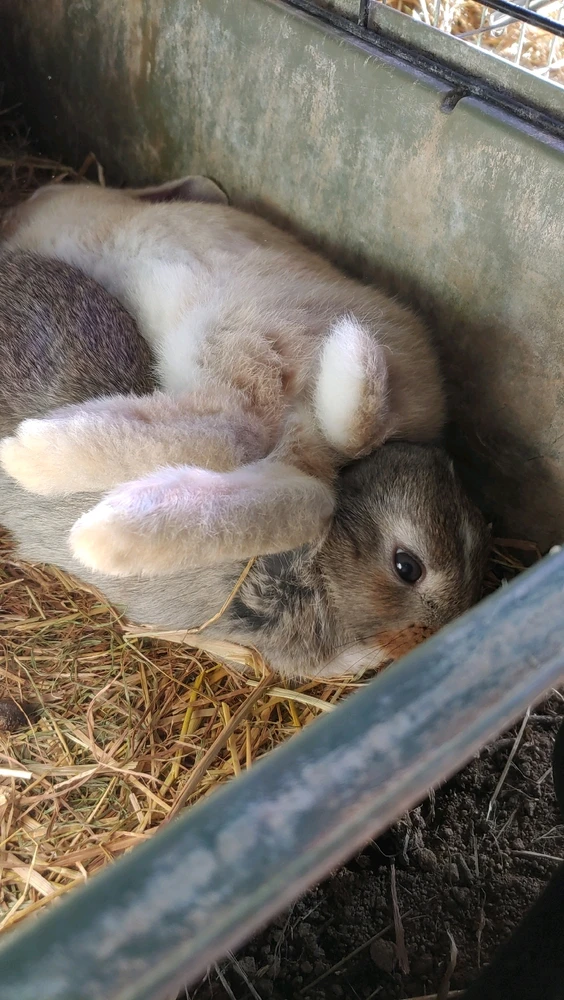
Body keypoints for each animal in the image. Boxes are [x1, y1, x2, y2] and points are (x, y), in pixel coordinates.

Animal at [0, 176, 447, 580]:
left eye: (43, 192)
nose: (14, 211)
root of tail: (381, 424)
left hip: (230, 330)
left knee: (230, 430)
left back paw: (34, 455)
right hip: (290, 429)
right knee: (307, 498)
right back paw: (116, 535)